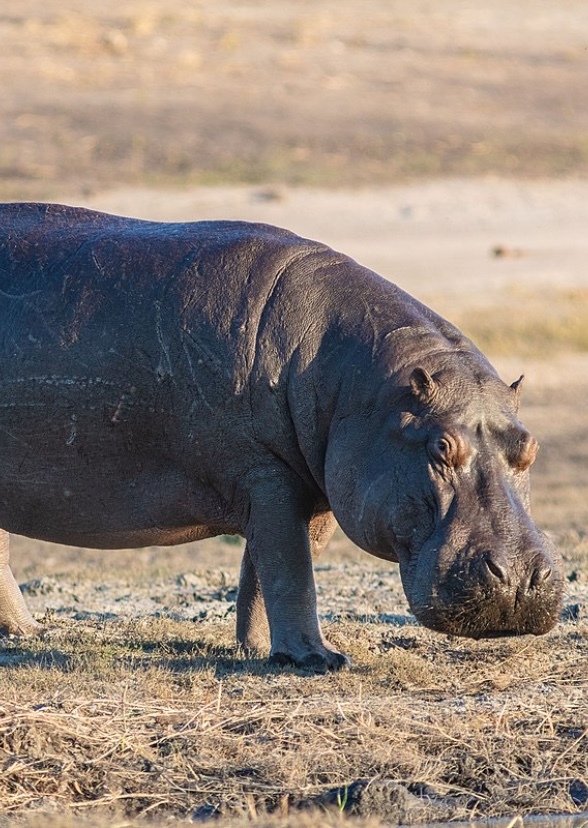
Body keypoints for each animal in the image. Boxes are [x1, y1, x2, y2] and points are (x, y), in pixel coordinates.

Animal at [0, 203, 562, 669]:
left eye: (530, 447)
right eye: (441, 447)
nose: (517, 581)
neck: (360, 386)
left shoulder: (306, 490)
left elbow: (267, 568)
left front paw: (257, 648)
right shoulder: (268, 476)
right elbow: (291, 570)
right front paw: (318, 659)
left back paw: (28, 633)